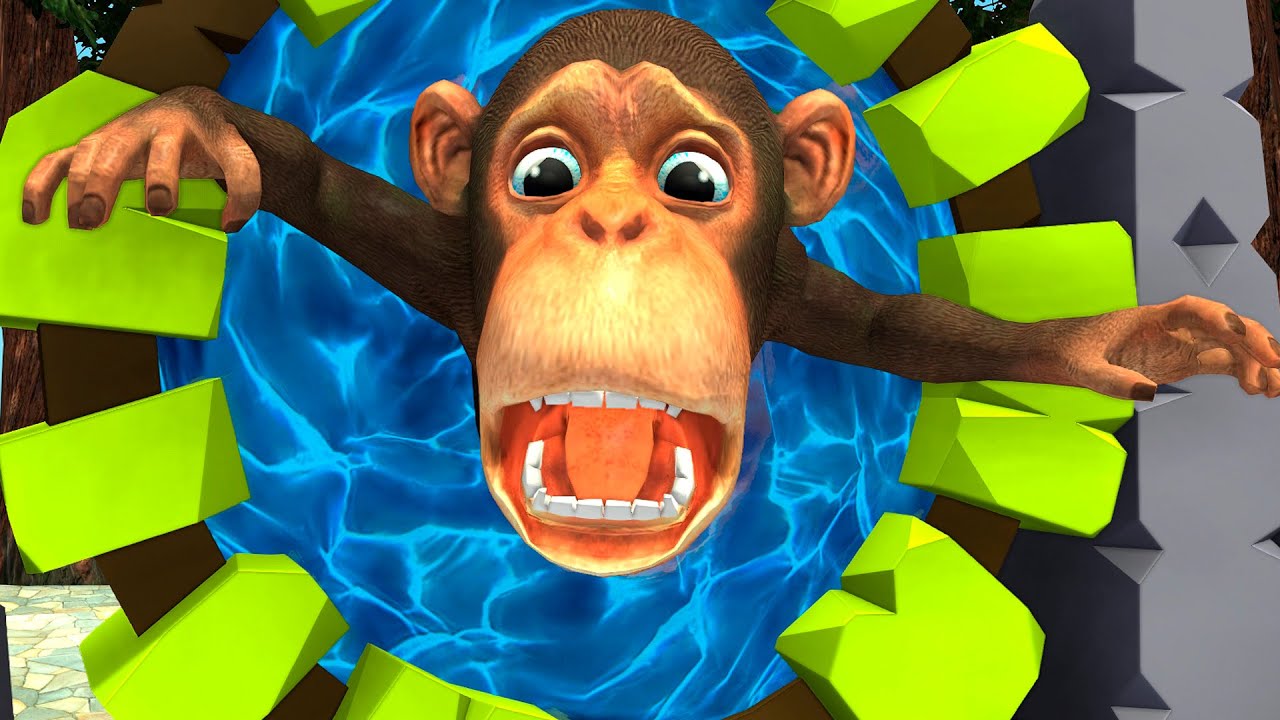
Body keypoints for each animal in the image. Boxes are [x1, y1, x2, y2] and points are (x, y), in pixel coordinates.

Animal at [19, 9, 1280, 577]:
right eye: (544, 175)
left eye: (691, 181)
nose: (613, 221)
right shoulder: (439, 257)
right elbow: (323, 186)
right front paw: (179, 126)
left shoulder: (795, 291)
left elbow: (916, 329)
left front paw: (1143, 337)